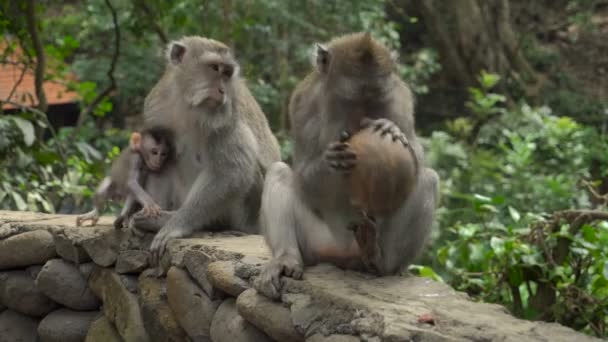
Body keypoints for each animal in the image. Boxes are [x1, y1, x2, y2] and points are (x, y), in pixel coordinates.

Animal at [133, 36, 280, 264]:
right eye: (214, 68)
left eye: (227, 73)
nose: (222, 91)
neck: (188, 106)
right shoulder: (155, 107)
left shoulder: (226, 117)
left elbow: (232, 171)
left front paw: (176, 225)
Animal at [254, 32, 440, 300]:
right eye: (351, 100)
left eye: (374, 99)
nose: (361, 121)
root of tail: (343, 254)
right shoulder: (303, 102)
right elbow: (303, 170)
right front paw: (328, 161)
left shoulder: (401, 99)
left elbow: (417, 157)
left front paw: (392, 129)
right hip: (316, 244)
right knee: (279, 172)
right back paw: (285, 259)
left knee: (428, 179)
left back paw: (379, 260)